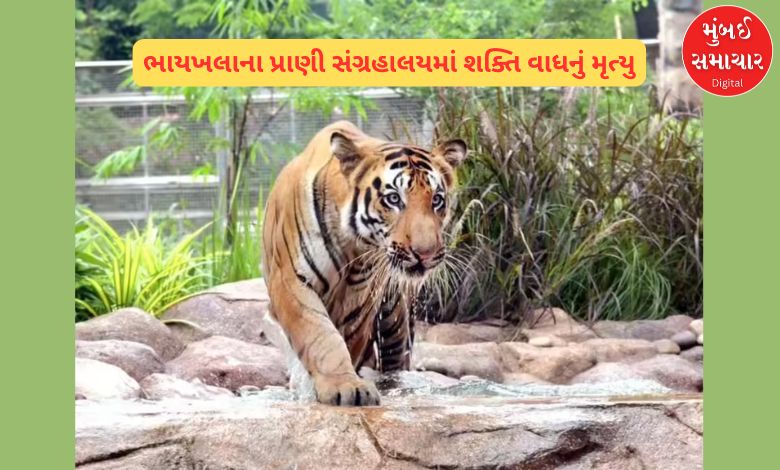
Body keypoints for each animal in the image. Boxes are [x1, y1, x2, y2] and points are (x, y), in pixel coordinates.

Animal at [261, 120, 467, 406]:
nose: (425, 254)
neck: (351, 244)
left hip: (395, 320)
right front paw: (344, 387)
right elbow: (320, 336)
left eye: (436, 199)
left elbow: (344, 341)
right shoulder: (291, 281)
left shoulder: (360, 298)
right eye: (393, 199)